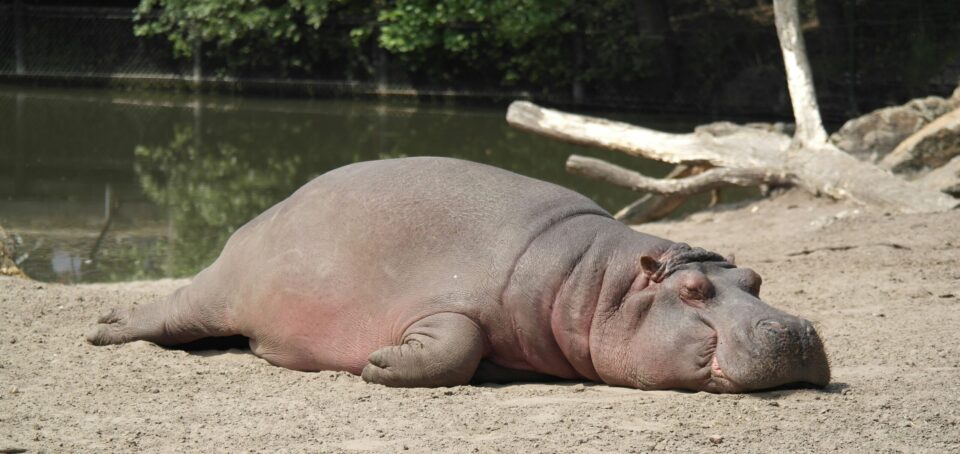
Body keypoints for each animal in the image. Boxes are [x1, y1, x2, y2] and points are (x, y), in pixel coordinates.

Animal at [86, 156, 828, 390]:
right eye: (693, 291)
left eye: (756, 279)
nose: (793, 330)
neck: (595, 282)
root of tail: (258, 218)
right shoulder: (445, 304)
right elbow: (457, 344)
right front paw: (380, 364)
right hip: (217, 294)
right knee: (167, 314)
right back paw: (103, 327)